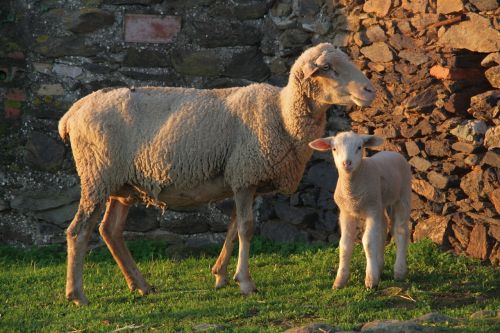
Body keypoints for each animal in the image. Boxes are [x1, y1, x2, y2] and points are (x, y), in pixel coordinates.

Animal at [58, 42, 376, 304]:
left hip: (122, 184)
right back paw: (77, 295)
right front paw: (245, 282)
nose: (370, 90)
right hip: (97, 175)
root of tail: (72, 112)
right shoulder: (245, 175)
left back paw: (141, 285)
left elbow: (234, 227)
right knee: (79, 231)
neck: (282, 115)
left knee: (110, 230)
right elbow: (246, 229)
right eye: (328, 68)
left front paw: (221, 275)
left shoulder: (245, 180)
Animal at [308, 131, 410, 290]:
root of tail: (391, 152)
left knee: (400, 231)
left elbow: (368, 242)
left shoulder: (371, 211)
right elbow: (344, 245)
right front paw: (340, 281)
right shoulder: (346, 213)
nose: (347, 163)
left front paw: (371, 280)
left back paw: (399, 271)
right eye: (334, 149)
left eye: (359, 147)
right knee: (382, 229)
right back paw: (379, 266)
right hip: (380, 203)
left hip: (402, 195)